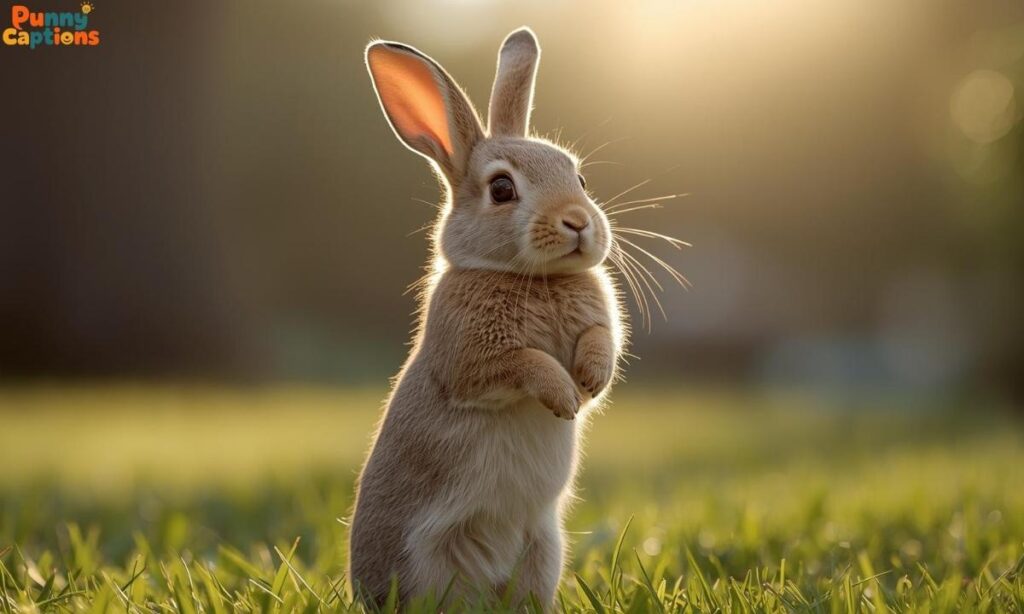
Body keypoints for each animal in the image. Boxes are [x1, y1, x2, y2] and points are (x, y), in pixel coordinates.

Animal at [349, 27, 625, 608]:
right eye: (502, 189)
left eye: (581, 179)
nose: (578, 222)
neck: (533, 278)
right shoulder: (470, 361)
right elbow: (523, 363)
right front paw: (565, 397)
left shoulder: (600, 325)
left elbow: (600, 339)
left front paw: (589, 380)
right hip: (431, 566)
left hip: (544, 551)